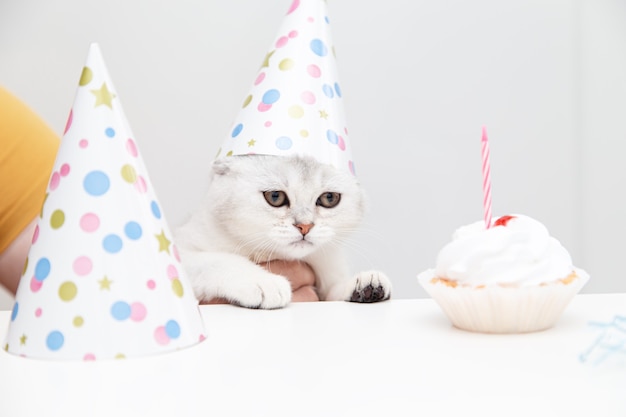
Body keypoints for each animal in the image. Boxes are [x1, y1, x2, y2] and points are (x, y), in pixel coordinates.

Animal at [174, 154, 390, 308]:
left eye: (329, 198)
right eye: (275, 196)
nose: (305, 226)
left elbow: (332, 292)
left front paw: (365, 284)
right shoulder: (182, 250)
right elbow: (219, 260)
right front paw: (263, 282)